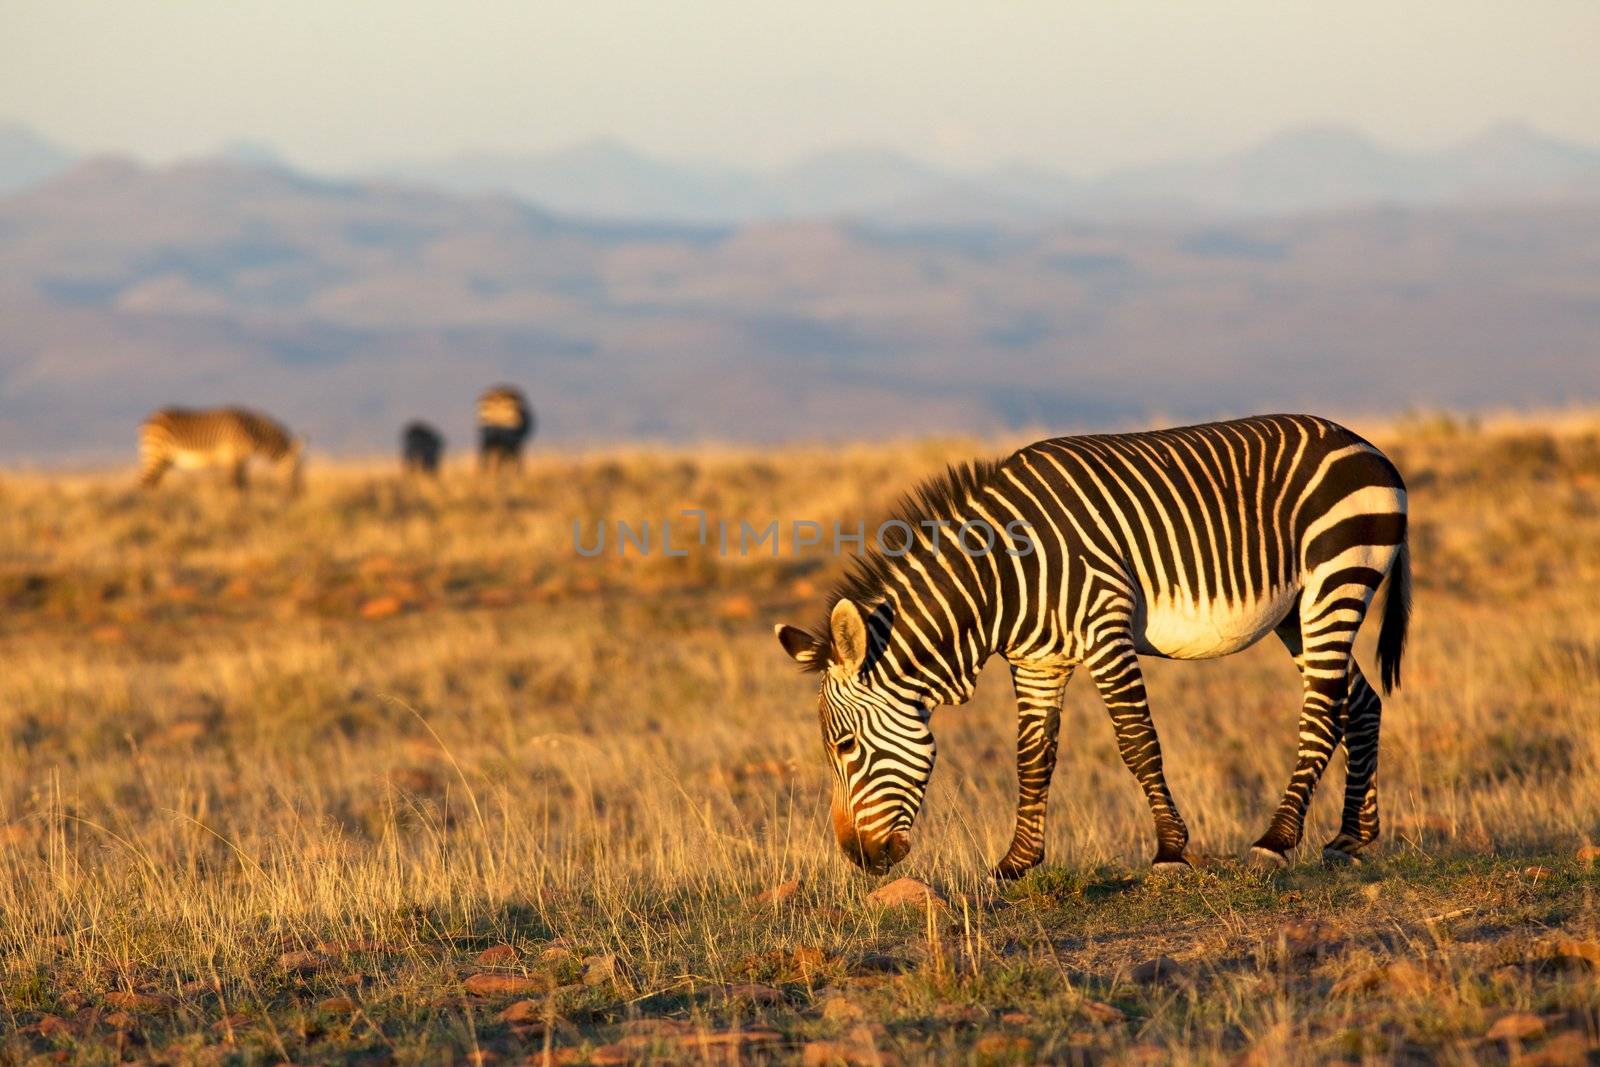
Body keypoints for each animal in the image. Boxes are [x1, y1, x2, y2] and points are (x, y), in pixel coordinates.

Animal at [139, 409, 304, 495]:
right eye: (295, 469)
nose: (297, 493)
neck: (250, 430)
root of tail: (151, 418)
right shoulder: (233, 456)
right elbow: (236, 484)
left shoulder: (241, 459)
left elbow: (244, 484)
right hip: (155, 454)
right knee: (145, 482)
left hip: (164, 460)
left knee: (153, 483)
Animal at [774, 415, 1414, 876]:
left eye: (846, 748)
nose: (858, 859)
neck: (1002, 578)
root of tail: (1368, 446)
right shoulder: (1036, 661)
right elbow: (1033, 757)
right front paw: (1017, 863)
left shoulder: (1106, 629)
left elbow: (1138, 743)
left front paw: (1170, 852)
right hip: (1298, 611)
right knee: (1358, 701)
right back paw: (1351, 838)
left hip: (1337, 578)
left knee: (1322, 710)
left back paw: (1277, 841)